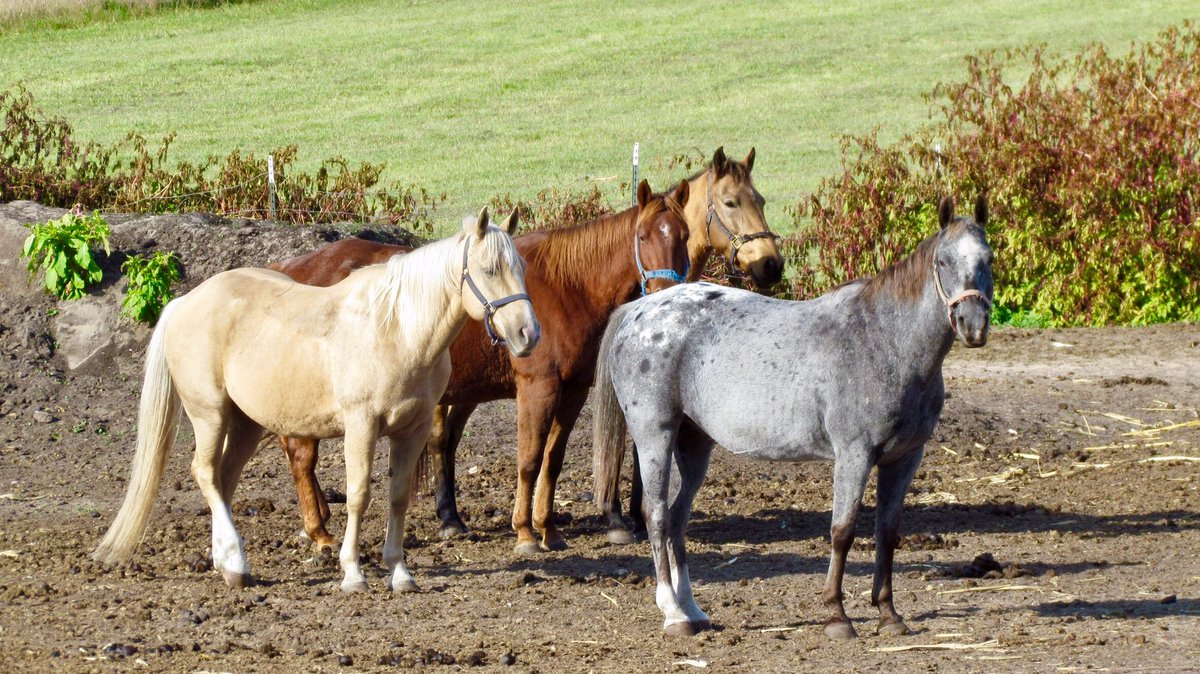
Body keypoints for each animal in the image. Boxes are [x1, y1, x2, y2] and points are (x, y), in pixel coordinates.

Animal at [92, 209, 538, 594]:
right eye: (489, 269)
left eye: (521, 267)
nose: (527, 333)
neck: (396, 329)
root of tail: (185, 302)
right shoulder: (361, 426)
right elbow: (358, 495)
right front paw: (353, 573)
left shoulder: (413, 428)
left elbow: (398, 496)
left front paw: (399, 571)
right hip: (210, 414)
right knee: (204, 472)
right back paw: (236, 561)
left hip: (246, 423)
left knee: (222, 478)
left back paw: (227, 563)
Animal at [274, 179, 693, 554]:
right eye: (643, 236)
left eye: (684, 235)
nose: (666, 293)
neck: (569, 287)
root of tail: (295, 267)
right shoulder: (537, 389)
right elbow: (529, 460)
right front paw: (525, 532)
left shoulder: (573, 392)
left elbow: (552, 461)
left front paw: (548, 529)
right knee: (301, 456)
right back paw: (320, 533)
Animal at [591, 196, 993, 638]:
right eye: (943, 261)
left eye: (988, 259)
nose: (973, 325)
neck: (884, 341)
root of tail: (639, 310)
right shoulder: (854, 456)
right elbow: (842, 532)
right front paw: (837, 616)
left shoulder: (904, 459)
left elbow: (887, 534)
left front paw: (889, 615)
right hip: (654, 437)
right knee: (657, 515)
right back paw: (673, 613)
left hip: (693, 444)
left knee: (678, 519)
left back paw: (692, 609)